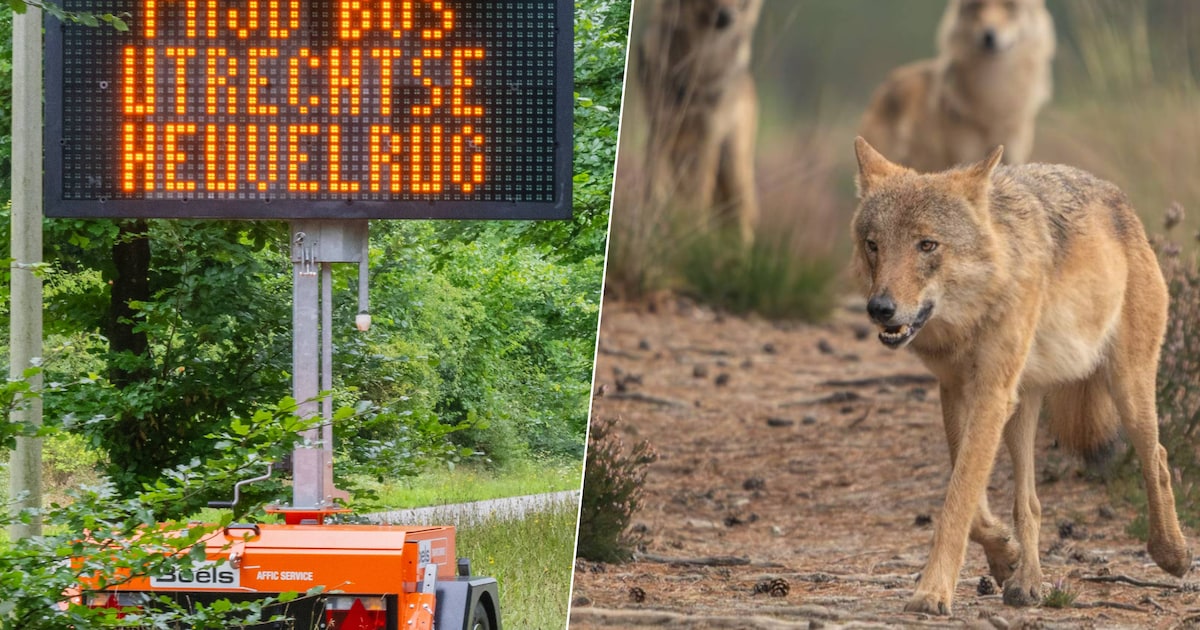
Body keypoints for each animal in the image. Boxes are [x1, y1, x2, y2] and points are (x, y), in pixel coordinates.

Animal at [637, 0, 762, 243]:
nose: (728, 17)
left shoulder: (707, 137)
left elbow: (698, 196)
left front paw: (694, 236)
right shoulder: (659, 131)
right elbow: (653, 189)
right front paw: (648, 232)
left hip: (733, 166)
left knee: (743, 218)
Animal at [850, 136, 1192, 615]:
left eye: (927, 245)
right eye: (874, 245)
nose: (880, 308)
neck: (971, 316)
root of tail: (1119, 199)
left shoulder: (992, 393)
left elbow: (957, 501)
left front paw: (931, 592)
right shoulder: (955, 390)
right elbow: (970, 498)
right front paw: (1003, 555)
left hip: (1127, 387)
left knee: (1157, 458)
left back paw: (1172, 554)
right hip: (1024, 408)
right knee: (1029, 501)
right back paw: (1027, 582)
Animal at [859, 0, 1054, 172]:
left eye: (1010, 6)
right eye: (976, 6)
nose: (988, 34)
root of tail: (887, 81)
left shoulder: (1012, 156)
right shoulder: (964, 157)